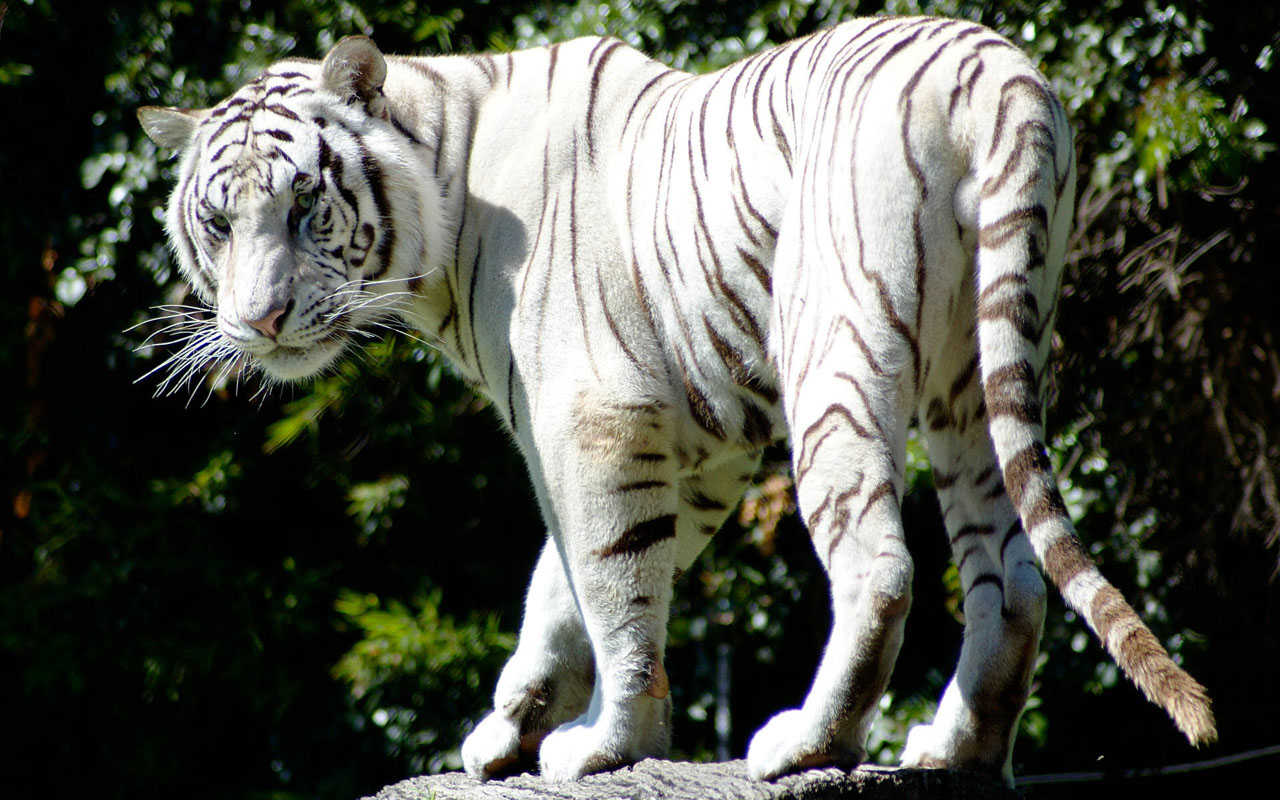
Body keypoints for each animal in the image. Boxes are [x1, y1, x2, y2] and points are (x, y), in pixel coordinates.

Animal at [138, 15, 1216, 784]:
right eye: (220, 222)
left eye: (304, 207)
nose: (262, 319)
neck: (446, 184)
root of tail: (999, 74)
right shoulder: (702, 447)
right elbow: (557, 585)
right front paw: (508, 725)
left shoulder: (595, 420)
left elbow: (612, 587)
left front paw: (605, 743)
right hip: (975, 366)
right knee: (1011, 570)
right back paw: (955, 749)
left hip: (835, 344)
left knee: (879, 565)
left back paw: (805, 743)